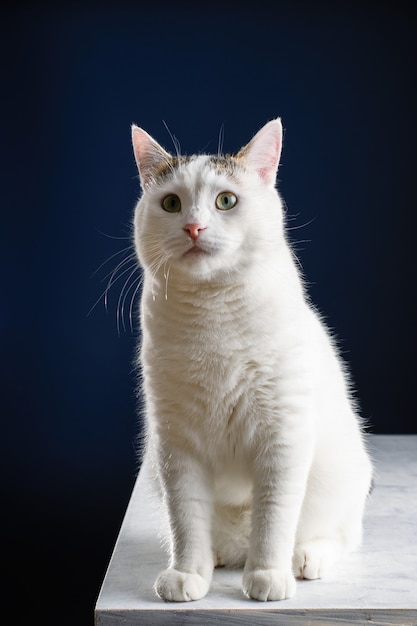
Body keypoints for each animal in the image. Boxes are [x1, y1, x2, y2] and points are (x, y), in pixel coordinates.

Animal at [129, 117, 370, 600]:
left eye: (225, 201)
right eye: (171, 203)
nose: (194, 228)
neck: (212, 319)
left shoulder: (283, 437)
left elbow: (273, 517)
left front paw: (267, 575)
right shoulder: (176, 446)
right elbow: (186, 519)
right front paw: (188, 574)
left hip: (343, 477)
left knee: (338, 534)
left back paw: (304, 558)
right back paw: (218, 558)